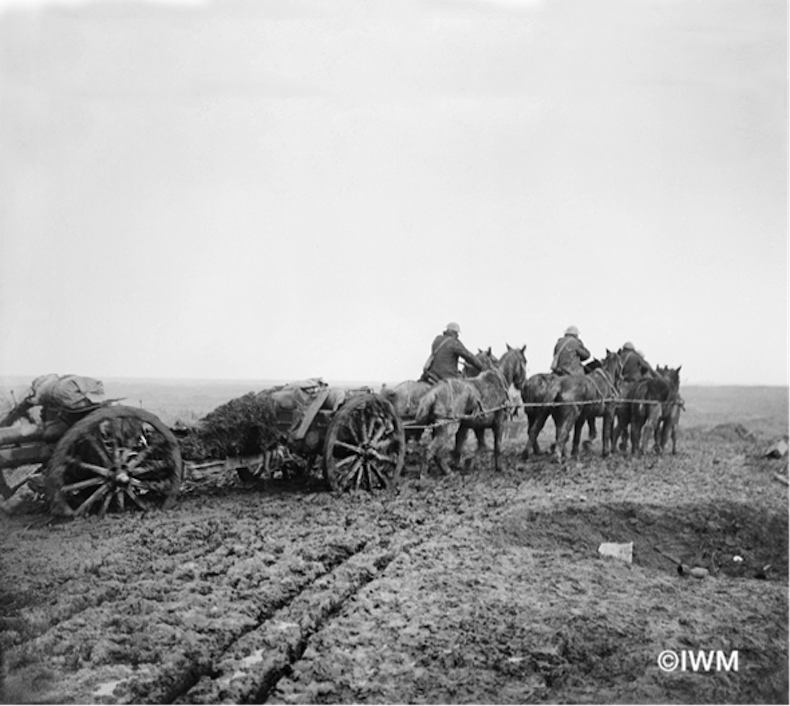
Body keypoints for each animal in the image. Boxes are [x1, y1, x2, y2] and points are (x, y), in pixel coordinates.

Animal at [414, 342, 524, 472]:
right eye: (524, 361)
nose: (522, 383)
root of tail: (435, 391)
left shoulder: (477, 425)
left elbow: (479, 446)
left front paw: (465, 462)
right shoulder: (499, 423)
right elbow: (497, 447)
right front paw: (499, 467)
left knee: (436, 452)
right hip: (448, 428)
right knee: (431, 450)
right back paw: (430, 473)